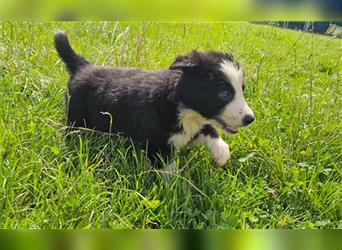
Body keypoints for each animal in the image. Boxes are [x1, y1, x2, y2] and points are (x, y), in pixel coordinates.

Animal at [54, 31, 254, 167]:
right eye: (224, 93)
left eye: (241, 90)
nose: (250, 118)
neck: (184, 109)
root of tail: (83, 66)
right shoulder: (158, 145)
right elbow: (171, 172)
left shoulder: (191, 127)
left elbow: (208, 129)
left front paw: (222, 153)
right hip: (76, 116)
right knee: (71, 130)